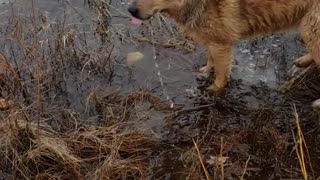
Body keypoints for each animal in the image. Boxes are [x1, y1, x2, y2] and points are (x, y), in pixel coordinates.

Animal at [127, 0, 320, 93]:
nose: (130, 10)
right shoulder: (212, 40)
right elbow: (211, 59)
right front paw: (206, 70)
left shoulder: (222, 44)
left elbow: (221, 73)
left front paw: (215, 89)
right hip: (308, 28)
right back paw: (303, 61)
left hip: (311, 28)